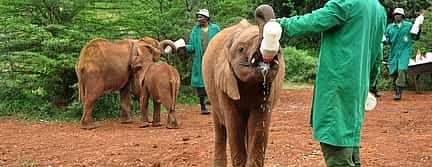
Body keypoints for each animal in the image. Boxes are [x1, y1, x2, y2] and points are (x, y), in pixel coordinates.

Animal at [202, 4, 286, 166]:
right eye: (241, 49)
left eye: (278, 51)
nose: (259, 12)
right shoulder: (223, 83)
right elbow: (234, 125)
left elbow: (258, 125)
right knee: (220, 129)